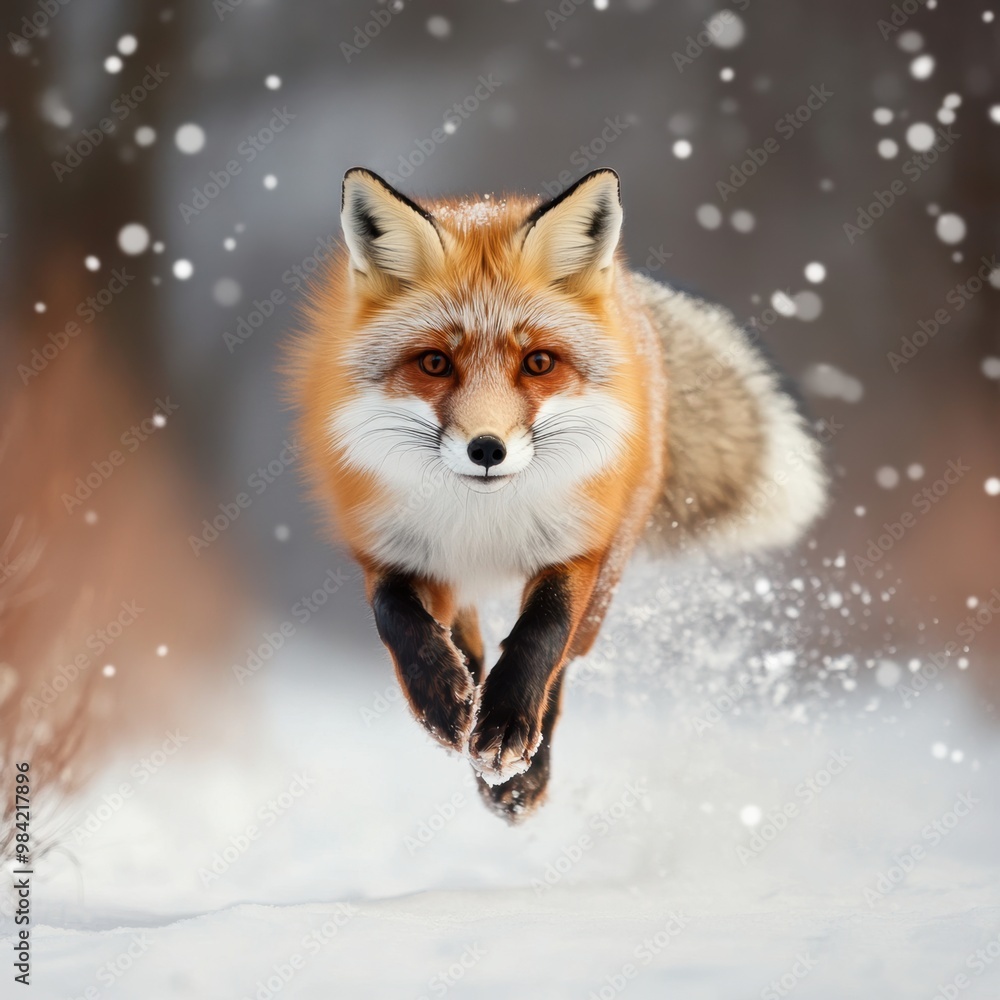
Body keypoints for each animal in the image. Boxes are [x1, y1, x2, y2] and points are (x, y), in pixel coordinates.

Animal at [289, 167, 827, 822]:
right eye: (435, 363)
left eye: (539, 362)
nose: (486, 449)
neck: (484, 521)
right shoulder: (390, 547)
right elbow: (398, 618)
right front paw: (442, 699)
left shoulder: (579, 546)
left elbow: (543, 635)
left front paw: (508, 736)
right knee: (468, 635)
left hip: (609, 570)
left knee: (562, 661)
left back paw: (519, 770)